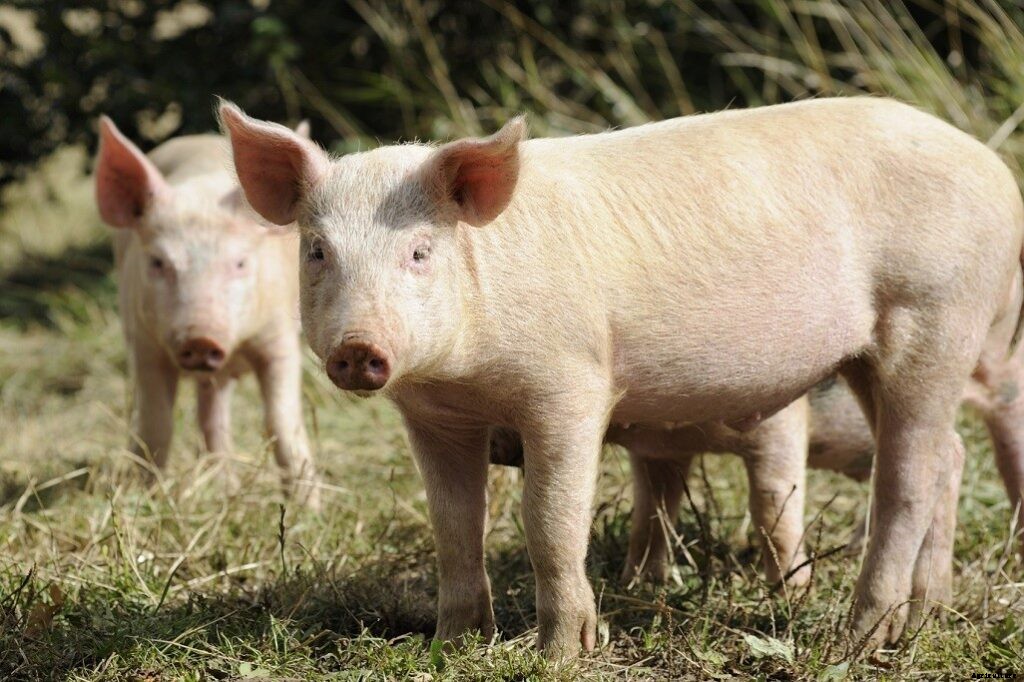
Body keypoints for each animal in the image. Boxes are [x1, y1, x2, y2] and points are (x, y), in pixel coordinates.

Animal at [94, 116, 321, 509]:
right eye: (158, 263)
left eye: (240, 263)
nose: (200, 337)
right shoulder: (144, 343)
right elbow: (155, 424)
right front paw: (149, 500)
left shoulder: (278, 337)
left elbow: (281, 421)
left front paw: (310, 509)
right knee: (207, 416)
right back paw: (225, 488)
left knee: (213, 414)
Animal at [219, 97, 1024, 655]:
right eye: (317, 250)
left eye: (419, 251)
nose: (358, 349)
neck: (467, 376)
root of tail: (996, 170)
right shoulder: (436, 417)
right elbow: (453, 525)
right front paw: (451, 646)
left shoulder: (568, 385)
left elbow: (550, 521)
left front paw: (559, 655)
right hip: (868, 354)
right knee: (947, 456)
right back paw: (928, 614)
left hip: (935, 313)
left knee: (909, 475)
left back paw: (858, 638)